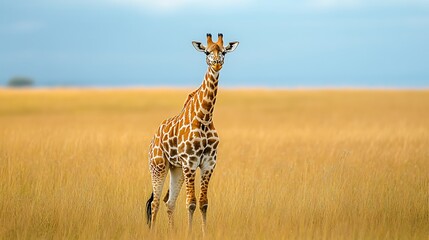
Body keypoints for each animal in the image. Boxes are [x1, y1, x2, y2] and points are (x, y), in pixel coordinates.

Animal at [144, 32, 237, 233]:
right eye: (207, 52)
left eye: (224, 51)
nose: (217, 63)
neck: (204, 118)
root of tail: (153, 138)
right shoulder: (190, 162)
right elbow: (191, 202)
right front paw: (189, 232)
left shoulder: (208, 163)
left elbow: (203, 203)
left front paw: (204, 233)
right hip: (158, 165)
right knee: (155, 202)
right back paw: (153, 232)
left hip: (176, 168)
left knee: (169, 202)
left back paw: (172, 232)